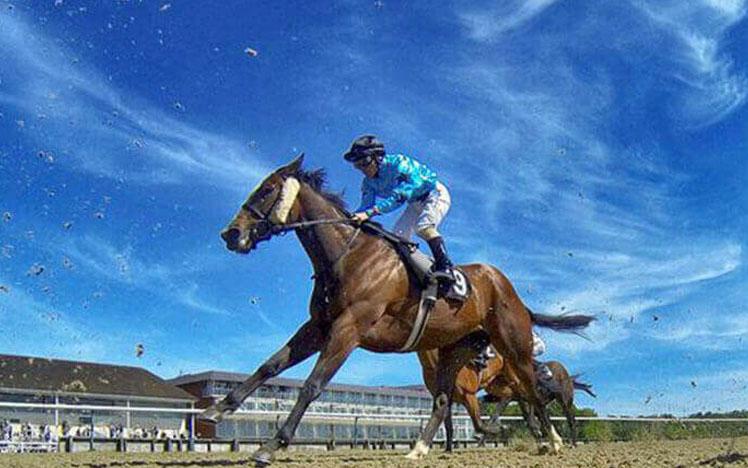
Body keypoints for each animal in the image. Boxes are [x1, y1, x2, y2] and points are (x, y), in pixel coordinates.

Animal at [200, 155, 595, 465]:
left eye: (266, 190)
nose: (230, 233)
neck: (349, 256)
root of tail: (507, 287)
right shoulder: (319, 326)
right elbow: (270, 365)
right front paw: (216, 409)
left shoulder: (349, 328)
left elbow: (313, 385)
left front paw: (271, 445)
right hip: (455, 350)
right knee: (442, 401)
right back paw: (418, 449)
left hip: (513, 346)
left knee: (531, 391)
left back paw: (554, 442)